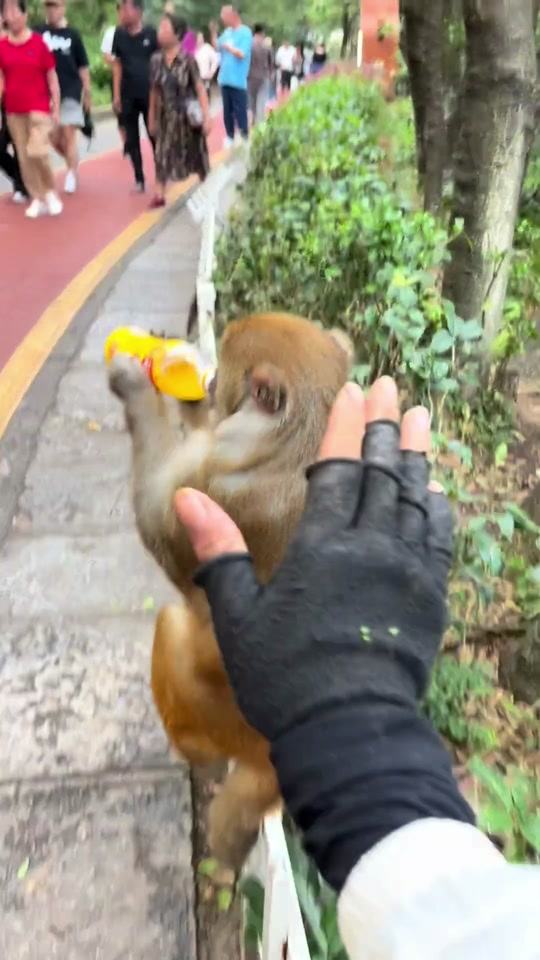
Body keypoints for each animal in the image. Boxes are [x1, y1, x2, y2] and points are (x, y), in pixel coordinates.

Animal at [108, 312, 353, 872]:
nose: (212, 380)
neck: (292, 450)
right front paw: (182, 389)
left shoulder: (218, 498)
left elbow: (158, 520)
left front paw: (137, 385)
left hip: (220, 718)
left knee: (174, 629)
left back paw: (196, 755)